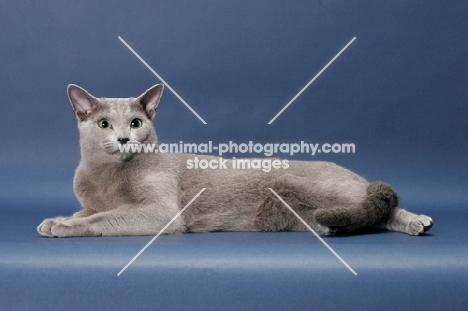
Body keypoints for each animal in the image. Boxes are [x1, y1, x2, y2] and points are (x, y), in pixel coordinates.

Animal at [37, 84, 436, 238]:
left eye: (135, 123)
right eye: (104, 124)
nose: (123, 138)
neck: (105, 176)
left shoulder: (161, 212)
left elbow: (103, 218)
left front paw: (65, 226)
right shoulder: (93, 201)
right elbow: (89, 212)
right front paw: (56, 219)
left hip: (324, 188)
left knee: (382, 204)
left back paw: (418, 221)